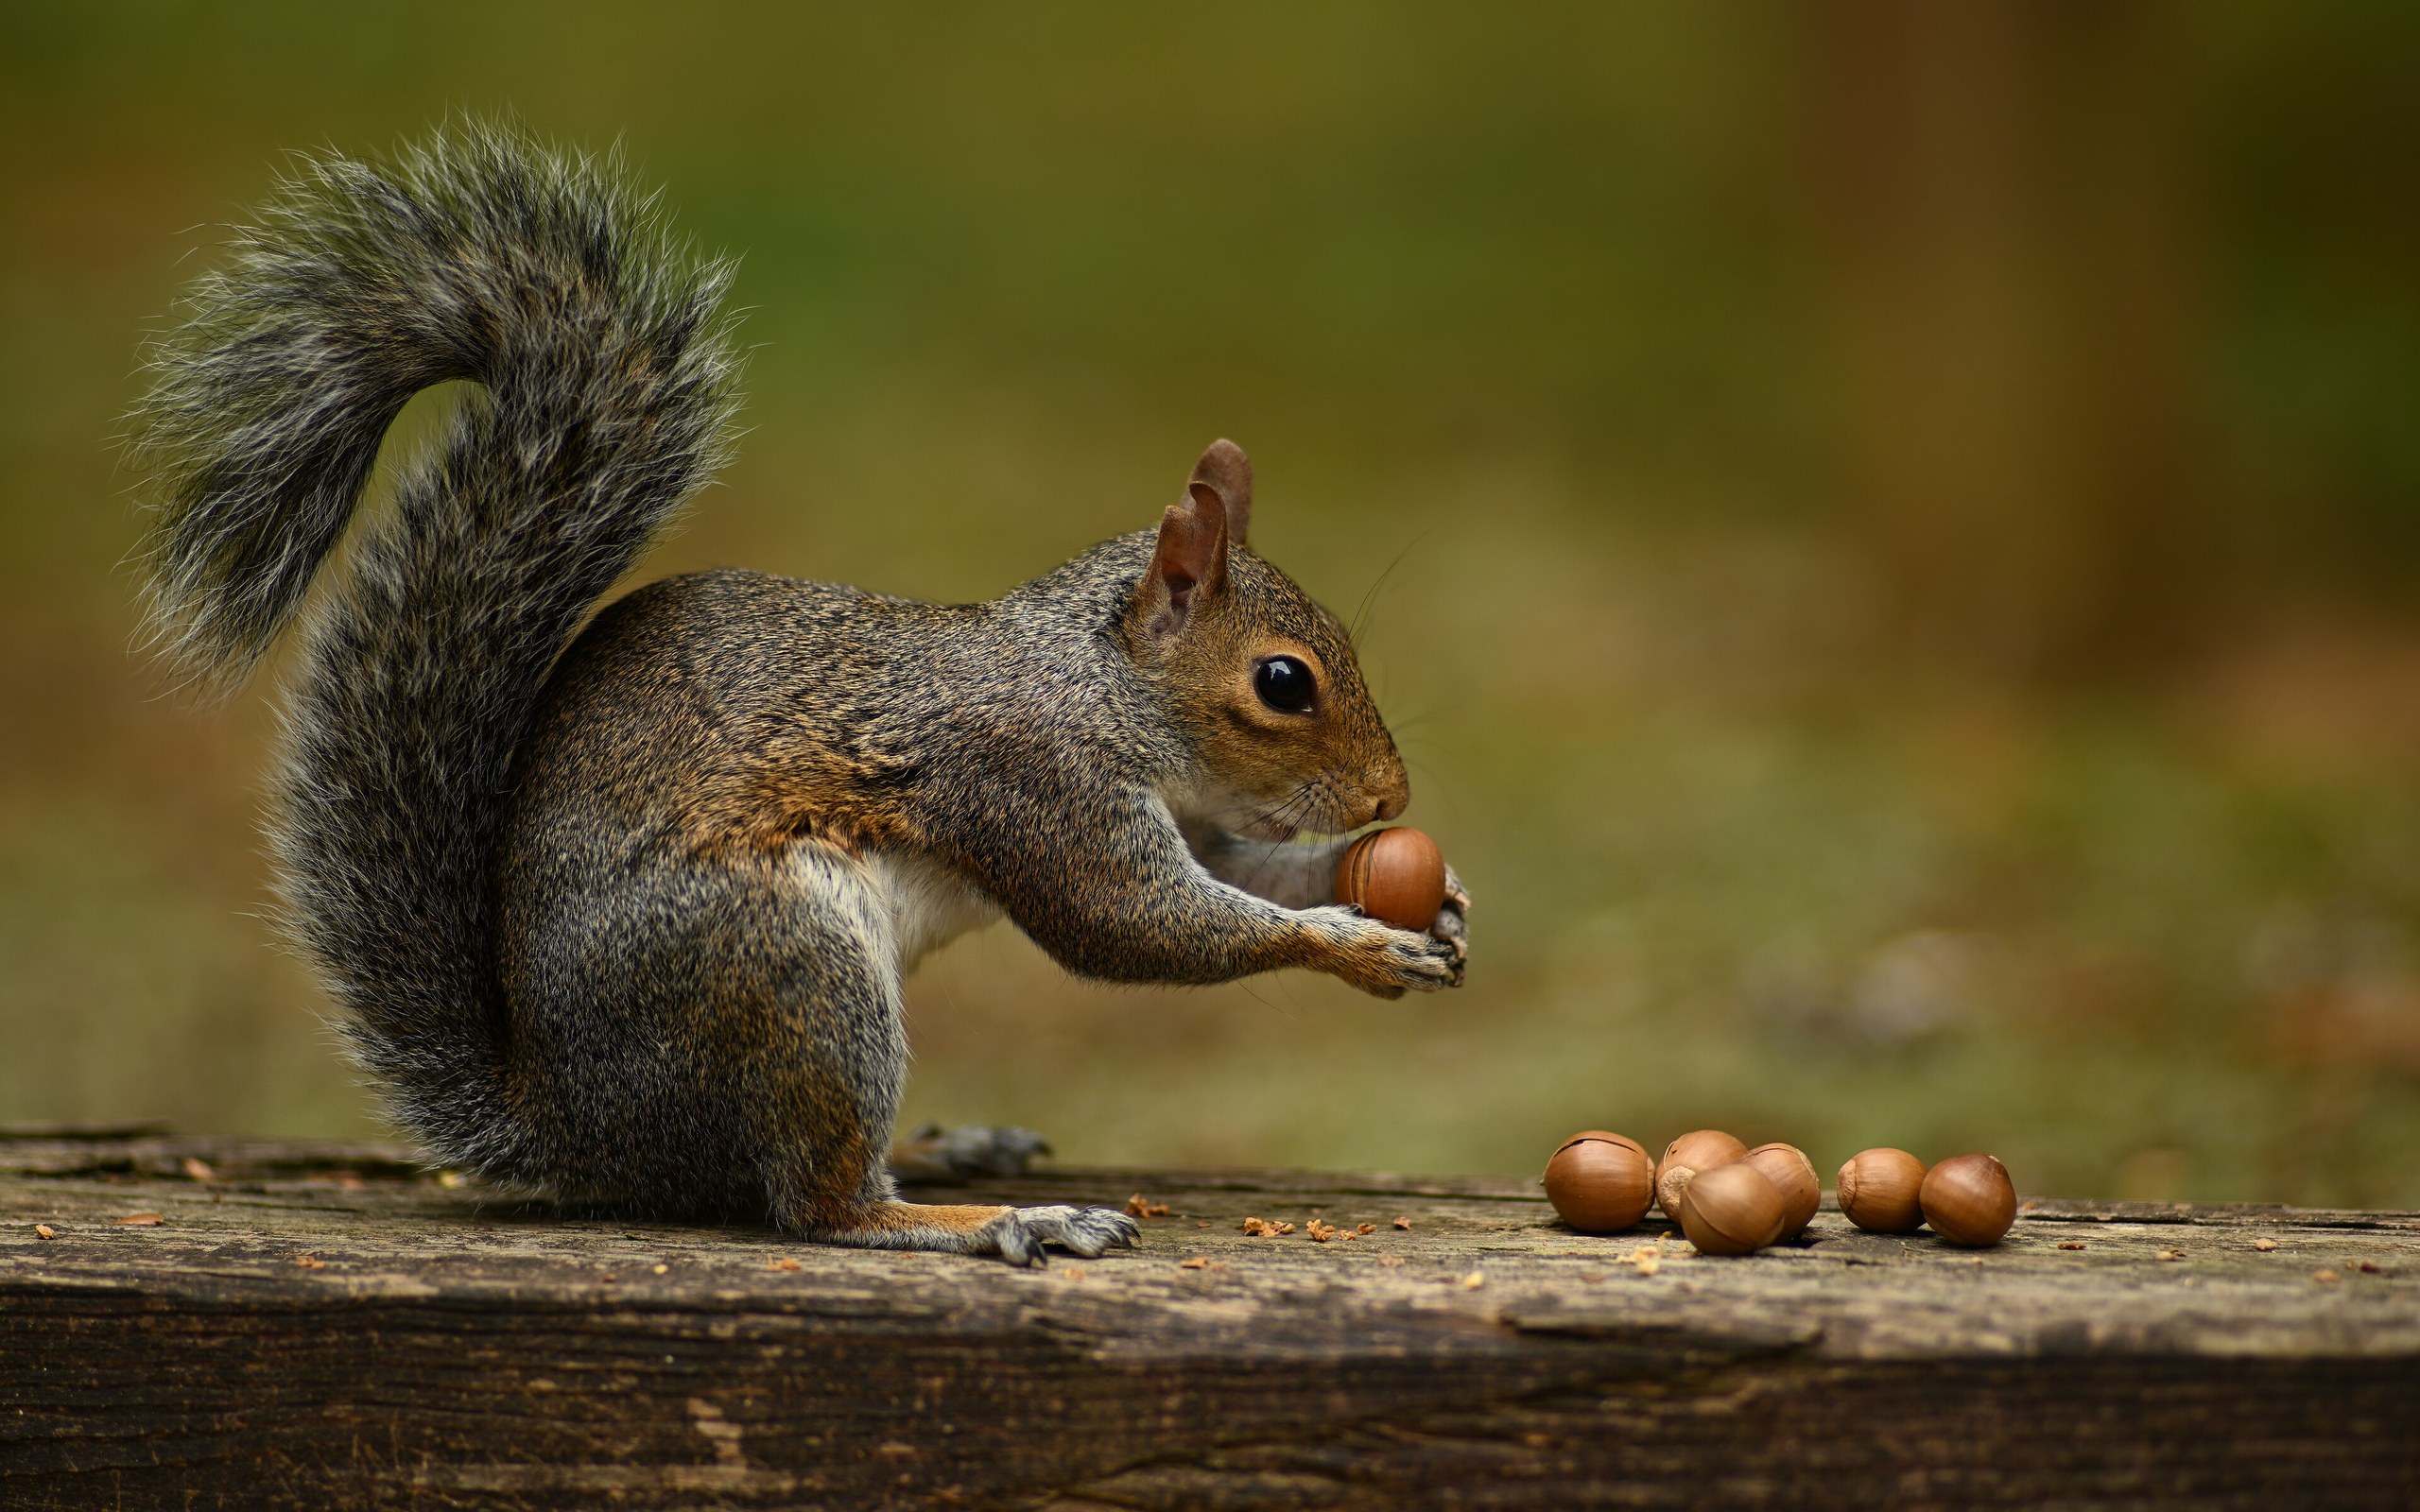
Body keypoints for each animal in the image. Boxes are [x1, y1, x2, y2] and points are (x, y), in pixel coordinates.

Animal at [128, 122, 1468, 1266]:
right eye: (1283, 682)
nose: (1390, 794)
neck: (1095, 685)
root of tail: (578, 1130)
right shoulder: (1031, 780)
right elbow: (1135, 923)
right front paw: (1356, 941)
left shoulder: (1183, 812)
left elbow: (1243, 872)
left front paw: (1426, 901)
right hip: (787, 967)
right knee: (817, 1204)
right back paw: (990, 1218)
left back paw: (950, 1150)